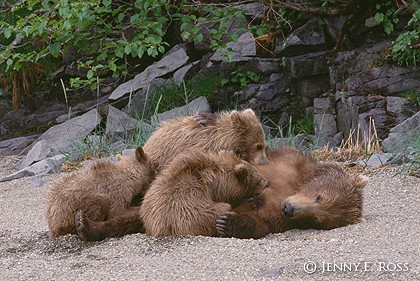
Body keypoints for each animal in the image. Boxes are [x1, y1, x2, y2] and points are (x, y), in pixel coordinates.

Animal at [217, 145, 368, 237]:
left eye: (316, 218)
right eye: (319, 196)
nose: (288, 208)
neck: (297, 187)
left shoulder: (279, 219)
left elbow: (259, 222)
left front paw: (225, 223)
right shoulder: (286, 162)